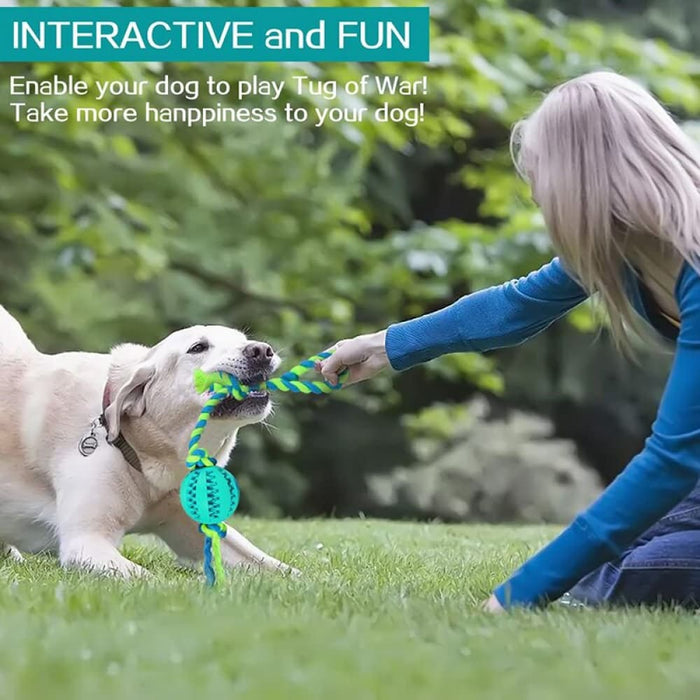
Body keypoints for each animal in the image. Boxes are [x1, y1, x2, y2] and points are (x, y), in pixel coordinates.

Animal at [0, 308, 296, 580]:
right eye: (198, 347)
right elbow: (151, 580)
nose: (262, 350)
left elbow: (277, 567)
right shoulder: (86, 541)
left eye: (242, 339)